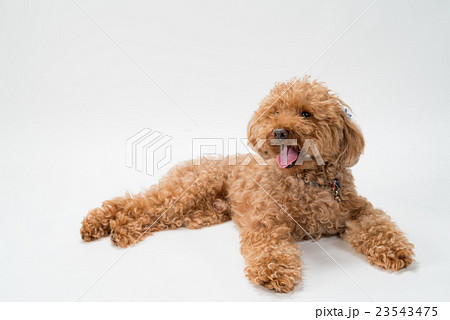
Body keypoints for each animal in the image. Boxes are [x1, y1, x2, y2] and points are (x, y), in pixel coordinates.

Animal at [81, 77, 414, 292]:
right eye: (274, 112)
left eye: (306, 113)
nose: (279, 132)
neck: (306, 181)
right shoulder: (265, 220)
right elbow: (270, 246)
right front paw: (274, 271)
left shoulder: (357, 210)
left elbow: (378, 224)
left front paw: (395, 250)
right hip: (190, 189)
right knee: (138, 203)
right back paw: (106, 224)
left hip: (203, 209)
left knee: (156, 214)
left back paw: (118, 228)